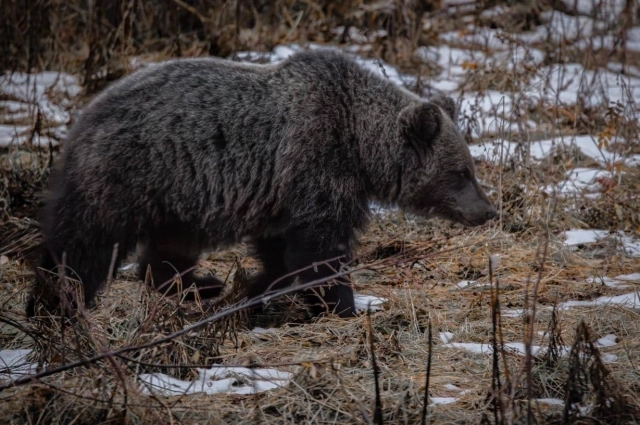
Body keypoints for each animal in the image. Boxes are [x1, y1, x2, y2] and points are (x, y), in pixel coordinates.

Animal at [25, 48, 498, 318]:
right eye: (461, 171)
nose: (488, 210)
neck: (359, 145)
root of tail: (82, 118)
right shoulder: (316, 166)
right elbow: (320, 252)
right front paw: (344, 306)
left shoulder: (280, 193)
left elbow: (282, 251)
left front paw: (254, 286)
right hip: (128, 176)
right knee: (83, 245)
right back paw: (54, 304)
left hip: (177, 200)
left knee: (167, 250)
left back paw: (200, 285)